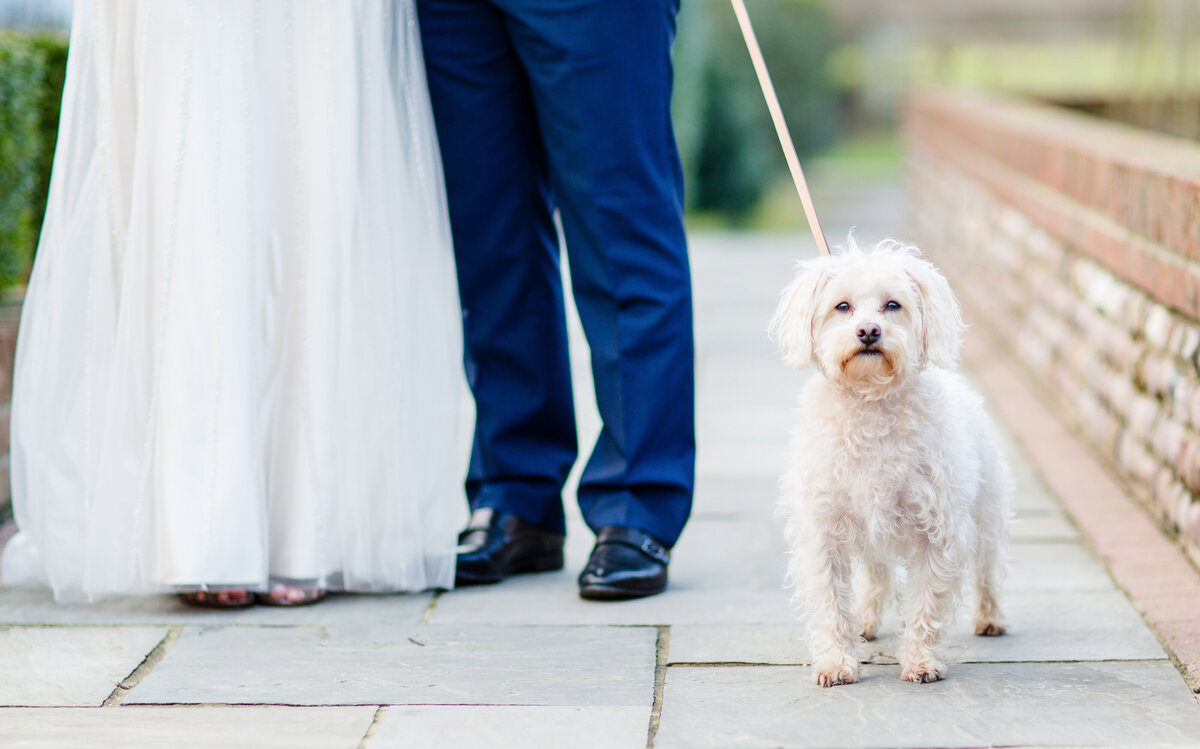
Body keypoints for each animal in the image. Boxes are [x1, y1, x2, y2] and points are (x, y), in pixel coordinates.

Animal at [768, 240, 1012, 686]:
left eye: (892, 305)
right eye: (842, 306)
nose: (869, 331)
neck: (869, 403)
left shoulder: (938, 531)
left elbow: (926, 604)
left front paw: (921, 661)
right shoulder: (823, 531)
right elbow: (832, 606)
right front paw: (838, 662)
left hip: (987, 513)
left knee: (987, 570)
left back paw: (989, 618)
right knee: (876, 575)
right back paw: (865, 621)